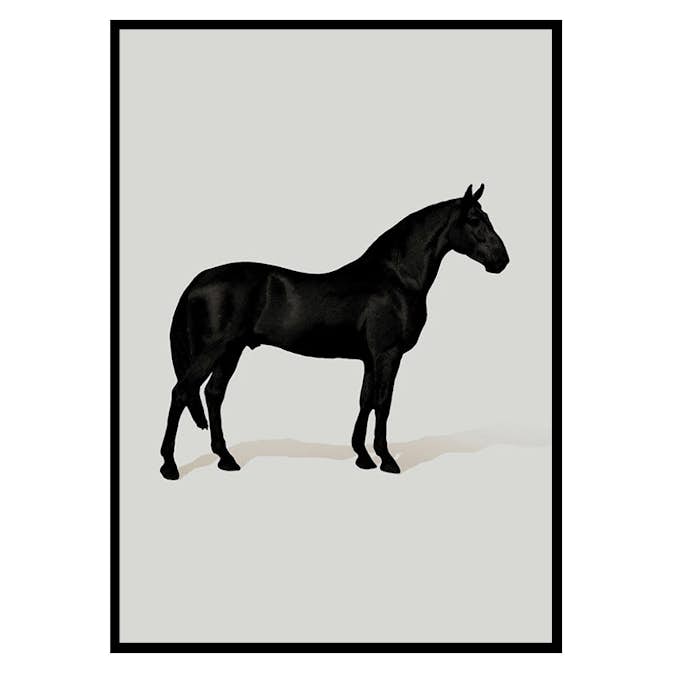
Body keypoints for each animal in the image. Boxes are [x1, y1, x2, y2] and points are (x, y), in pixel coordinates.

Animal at [159, 183, 509, 480]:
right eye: (475, 219)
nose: (502, 260)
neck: (396, 278)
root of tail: (198, 280)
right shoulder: (388, 354)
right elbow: (383, 402)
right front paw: (387, 460)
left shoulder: (370, 358)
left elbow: (365, 401)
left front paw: (363, 457)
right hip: (214, 350)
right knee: (182, 392)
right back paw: (169, 466)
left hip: (231, 351)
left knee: (213, 394)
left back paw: (226, 458)